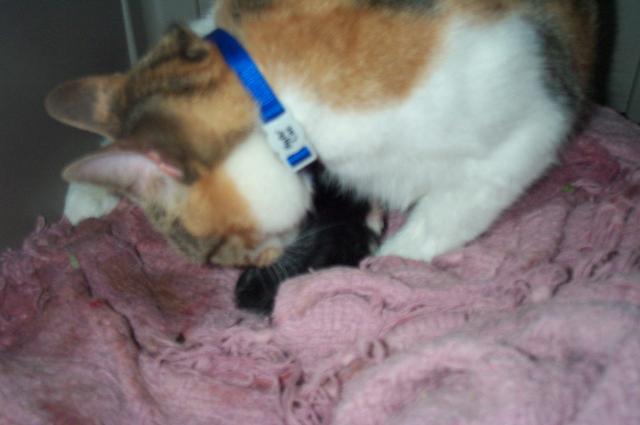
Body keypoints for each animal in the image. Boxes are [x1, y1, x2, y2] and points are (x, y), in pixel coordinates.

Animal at [46, 0, 598, 274]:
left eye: (214, 250)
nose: (248, 265)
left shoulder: (529, 129)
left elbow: (451, 212)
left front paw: (391, 262)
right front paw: (87, 192)